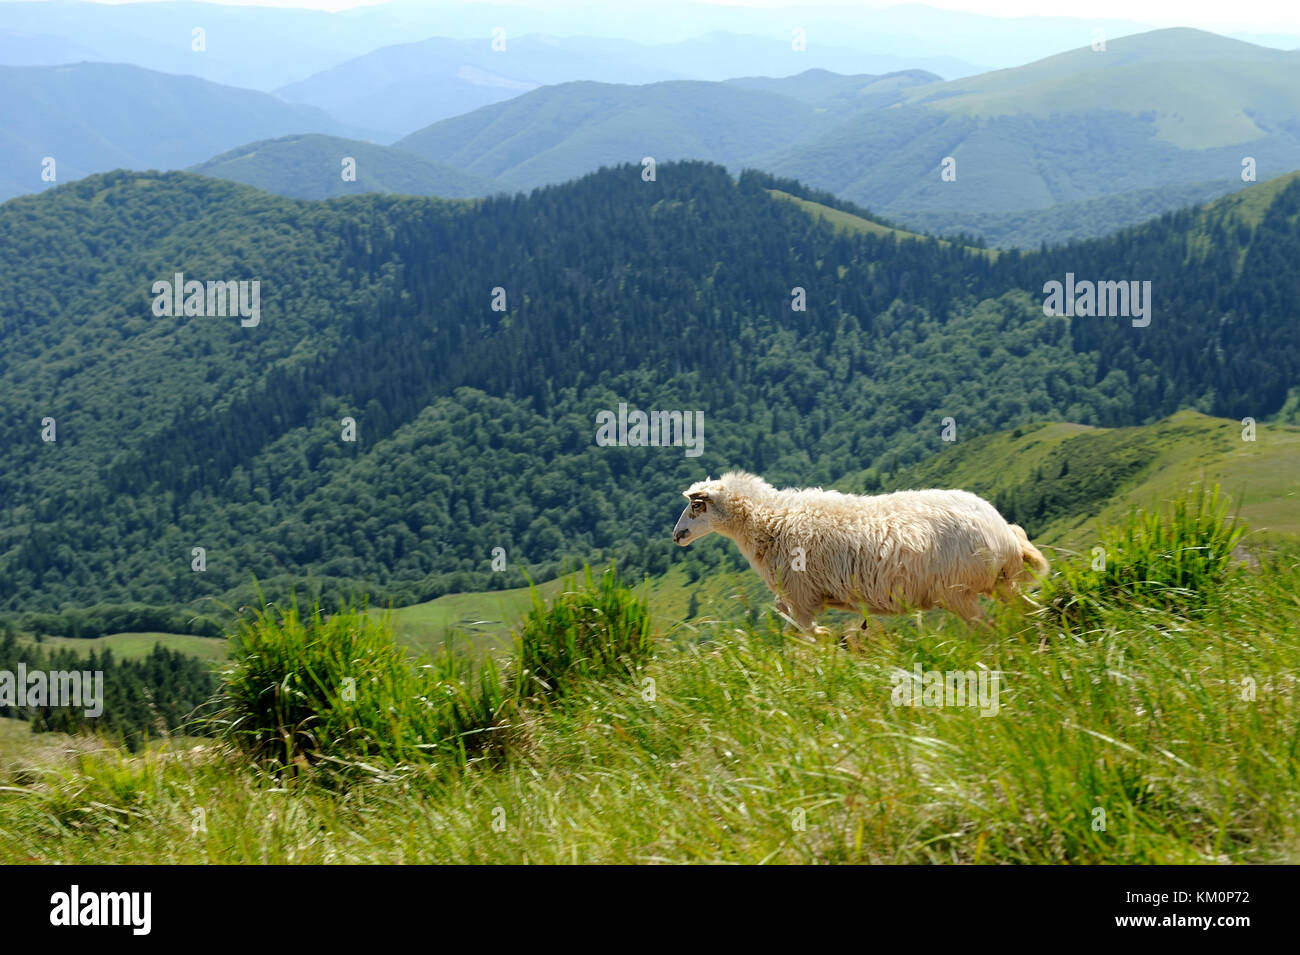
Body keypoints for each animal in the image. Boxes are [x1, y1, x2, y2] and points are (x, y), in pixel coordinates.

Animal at [671, 471, 1049, 636]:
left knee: (990, 626)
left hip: (958, 593)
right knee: (1028, 610)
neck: (772, 520)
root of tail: (1003, 531)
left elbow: (806, 635)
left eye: (696, 505)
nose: (676, 536)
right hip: (997, 585)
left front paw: (827, 645)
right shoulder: (804, 598)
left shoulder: (802, 596)